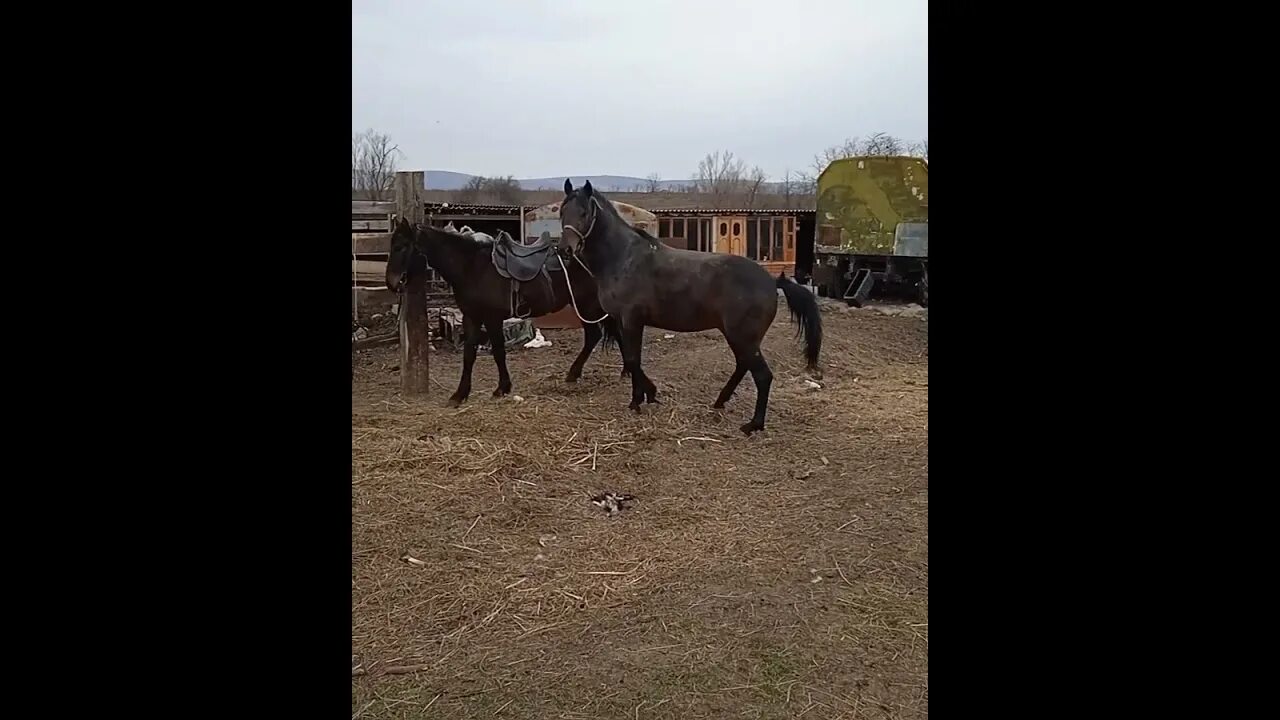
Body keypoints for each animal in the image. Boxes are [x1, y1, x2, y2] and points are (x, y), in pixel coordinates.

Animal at [381, 215, 622, 407]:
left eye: (401, 246)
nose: (391, 283)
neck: (472, 267)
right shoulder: (472, 317)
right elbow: (469, 354)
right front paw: (460, 394)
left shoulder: (492, 318)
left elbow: (498, 351)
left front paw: (502, 388)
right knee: (600, 335)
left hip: (588, 305)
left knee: (599, 335)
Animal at [558, 180, 819, 430]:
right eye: (562, 212)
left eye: (583, 213)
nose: (564, 250)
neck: (623, 258)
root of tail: (772, 281)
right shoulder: (621, 321)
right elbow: (631, 359)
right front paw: (641, 398)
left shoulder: (631, 319)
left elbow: (633, 360)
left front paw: (643, 398)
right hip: (739, 337)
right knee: (743, 366)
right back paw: (720, 401)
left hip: (743, 337)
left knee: (762, 376)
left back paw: (753, 424)